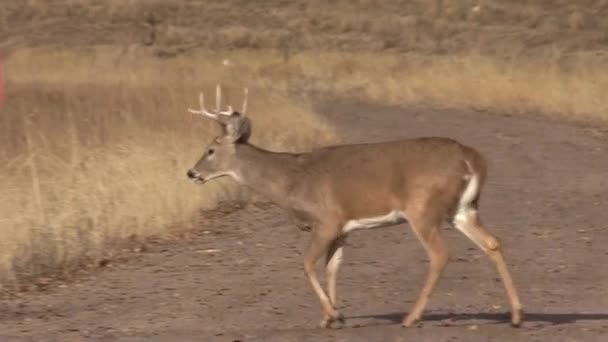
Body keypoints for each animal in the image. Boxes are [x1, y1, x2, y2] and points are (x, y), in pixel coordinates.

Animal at [185, 85, 524, 328]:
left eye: (210, 149)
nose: (192, 173)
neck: (292, 180)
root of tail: (470, 158)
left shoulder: (327, 220)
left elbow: (307, 264)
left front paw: (332, 315)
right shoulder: (343, 228)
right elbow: (332, 267)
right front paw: (332, 315)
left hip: (423, 208)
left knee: (440, 255)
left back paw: (411, 317)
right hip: (463, 209)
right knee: (492, 242)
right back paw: (517, 314)